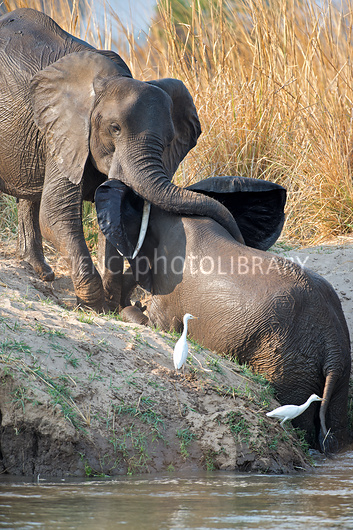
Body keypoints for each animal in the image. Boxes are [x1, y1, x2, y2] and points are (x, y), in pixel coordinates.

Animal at [0, 8, 242, 310]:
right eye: (114, 129)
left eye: (168, 141)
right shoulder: (65, 131)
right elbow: (57, 213)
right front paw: (93, 305)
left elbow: (110, 215)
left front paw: (112, 300)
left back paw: (41, 272)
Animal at [95, 174, 350, 450]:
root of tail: (333, 348)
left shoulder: (169, 289)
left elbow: (152, 323)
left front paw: (131, 307)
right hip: (334, 371)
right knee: (336, 421)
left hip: (286, 360)